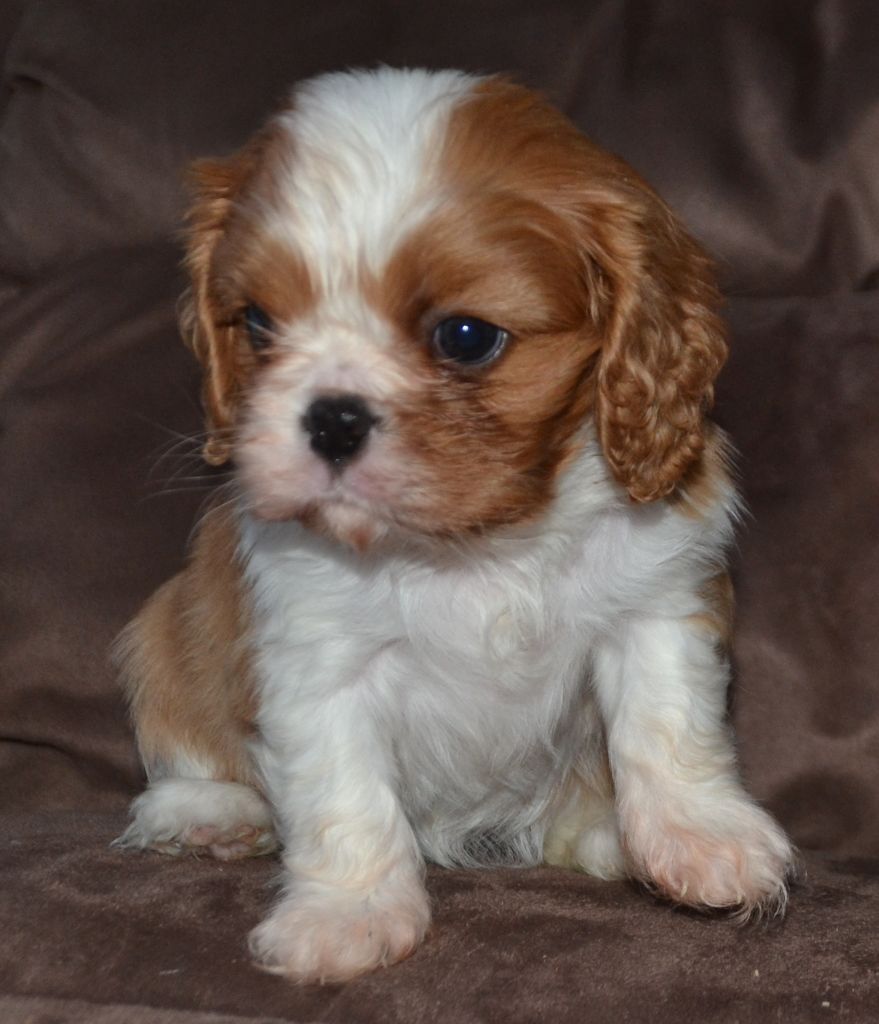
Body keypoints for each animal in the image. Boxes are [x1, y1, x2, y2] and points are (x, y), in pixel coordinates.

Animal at [116, 66, 794, 983]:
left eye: (466, 337)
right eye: (257, 324)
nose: (331, 419)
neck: (476, 545)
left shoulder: (657, 601)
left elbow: (667, 725)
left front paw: (700, 838)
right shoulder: (314, 659)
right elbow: (342, 791)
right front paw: (348, 913)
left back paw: (602, 833)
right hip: (166, 625)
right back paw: (210, 813)